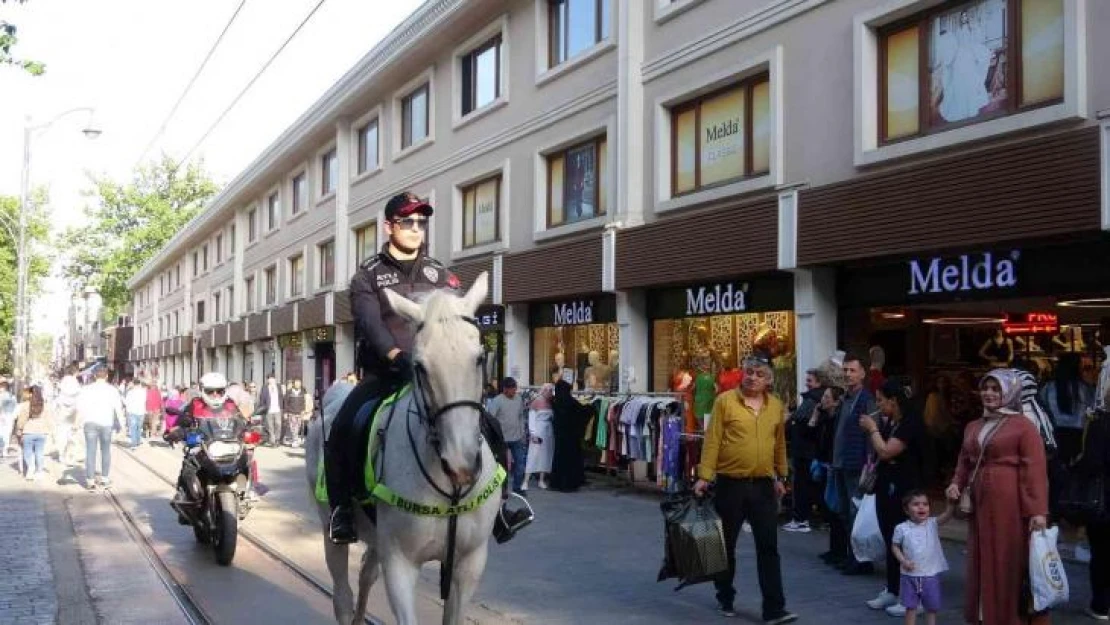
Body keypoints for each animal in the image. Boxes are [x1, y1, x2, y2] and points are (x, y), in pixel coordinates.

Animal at [301, 275, 497, 625]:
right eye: (419, 366)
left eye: (478, 358)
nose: (460, 464)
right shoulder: (400, 563)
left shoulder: (468, 564)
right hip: (330, 529)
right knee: (342, 594)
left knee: (366, 573)